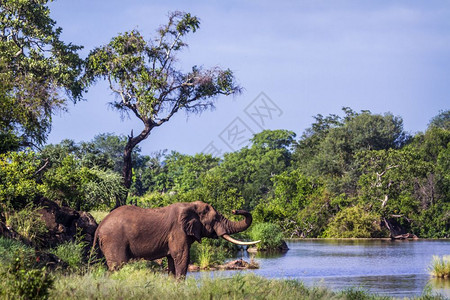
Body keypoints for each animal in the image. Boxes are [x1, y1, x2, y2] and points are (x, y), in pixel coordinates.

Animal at [92, 200, 260, 278]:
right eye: (215, 219)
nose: (235, 210)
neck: (190, 206)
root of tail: (99, 226)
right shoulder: (178, 232)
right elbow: (181, 256)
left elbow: (173, 259)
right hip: (114, 240)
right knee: (118, 265)